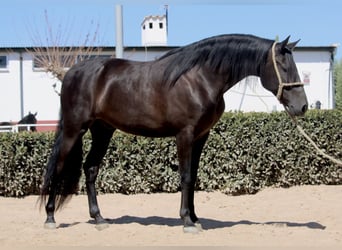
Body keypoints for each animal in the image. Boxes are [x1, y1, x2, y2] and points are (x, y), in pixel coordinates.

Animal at [40, 34, 308, 232]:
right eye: (283, 66)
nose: (302, 106)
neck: (199, 78)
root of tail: (72, 72)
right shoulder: (185, 135)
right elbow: (186, 176)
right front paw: (187, 221)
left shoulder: (201, 136)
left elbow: (194, 176)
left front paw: (196, 218)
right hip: (74, 129)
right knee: (59, 167)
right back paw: (50, 217)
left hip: (102, 130)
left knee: (91, 169)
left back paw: (99, 218)